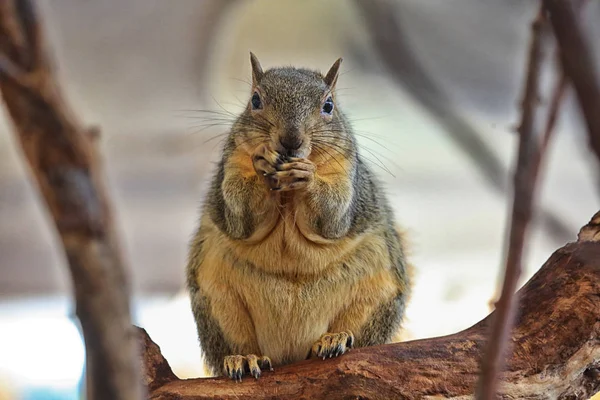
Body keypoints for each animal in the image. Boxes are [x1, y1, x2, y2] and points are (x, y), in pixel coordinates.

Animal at [188, 53, 412, 382]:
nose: (290, 140)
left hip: (377, 294)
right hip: (217, 300)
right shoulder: (231, 165)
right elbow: (240, 216)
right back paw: (244, 358)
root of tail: (289, 354)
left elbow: (332, 217)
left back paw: (334, 339)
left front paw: (307, 174)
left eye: (328, 105)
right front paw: (262, 162)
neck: (286, 187)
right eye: (255, 100)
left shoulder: (347, 175)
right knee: (237, 342)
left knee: (356, 334)